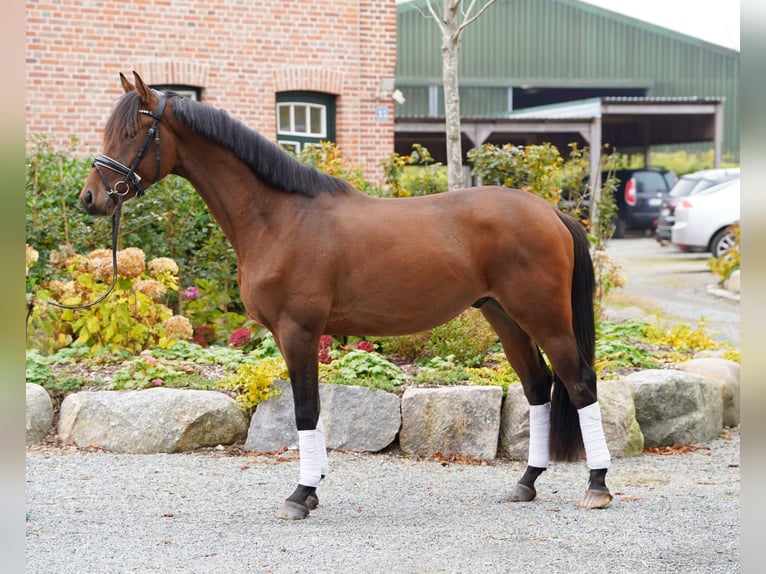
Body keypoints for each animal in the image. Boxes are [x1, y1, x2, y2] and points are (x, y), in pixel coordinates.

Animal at [81, 73, 616, 520]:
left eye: (131, 132)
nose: (91, 199)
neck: (279, 217)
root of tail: (552, 212)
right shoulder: (296, 335)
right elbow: (311, 410)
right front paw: (313, 486)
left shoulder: (299, 331)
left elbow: (305, 410)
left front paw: (300, 495)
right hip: (504, 317)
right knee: (538, 386)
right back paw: (527, 481)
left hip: (543, 316)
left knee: (579, 383)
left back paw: (597, 486)